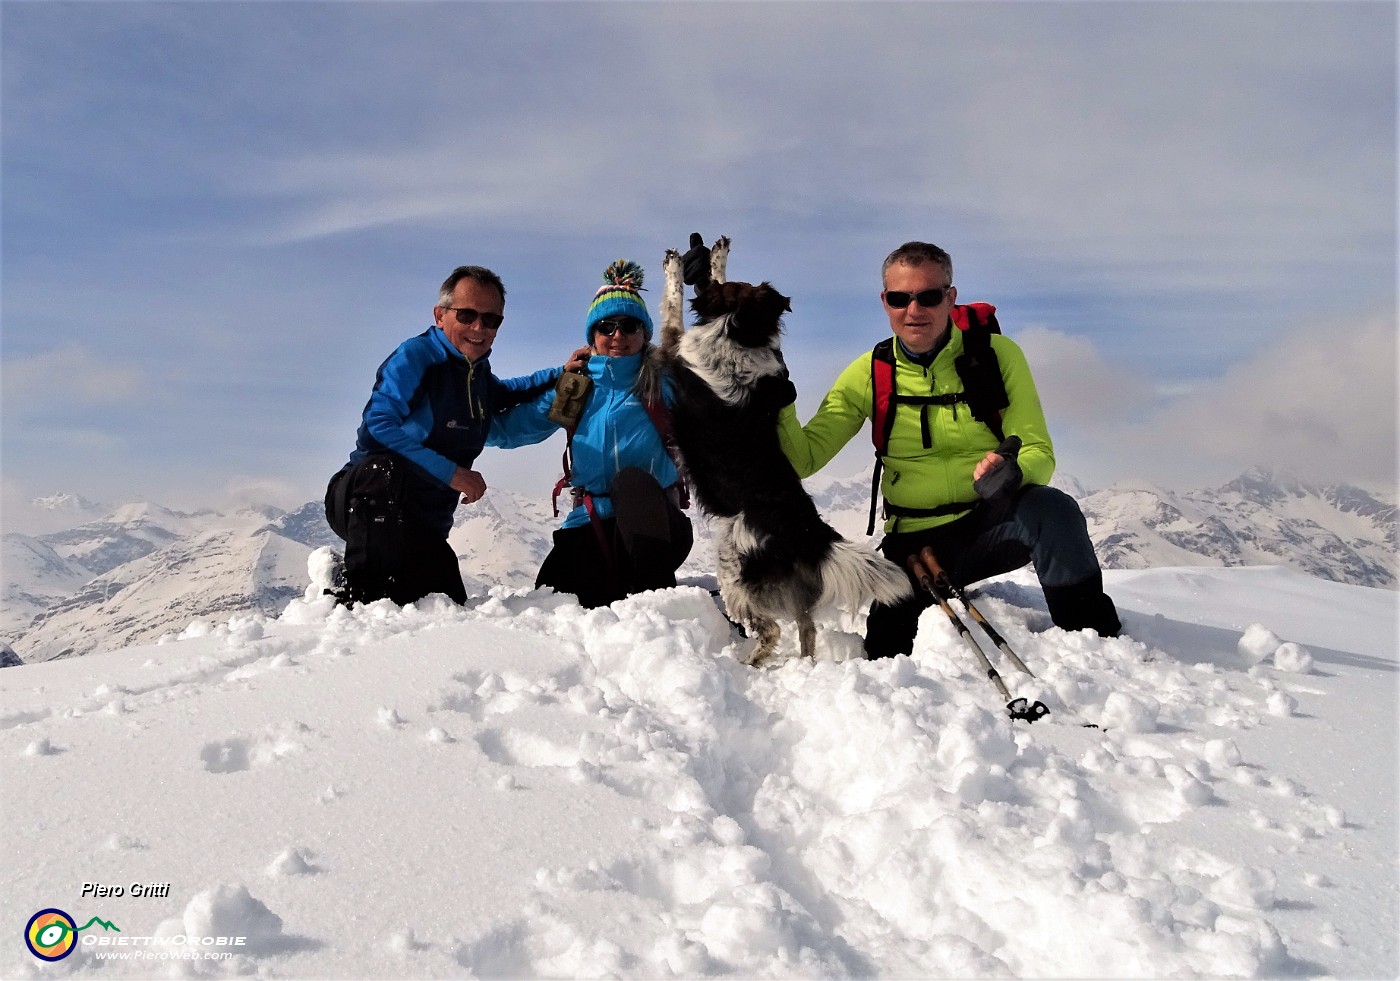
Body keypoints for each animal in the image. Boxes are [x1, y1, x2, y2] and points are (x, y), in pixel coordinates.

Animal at [655, 242, 907, 666]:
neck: (739, 331)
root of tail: (808, 529)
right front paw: (718, 256)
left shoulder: (673, 348)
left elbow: (672, 308)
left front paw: (675, 267)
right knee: (807, 626)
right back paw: (804, 666)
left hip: (732, 568)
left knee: (771, 629)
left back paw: (749, 663)